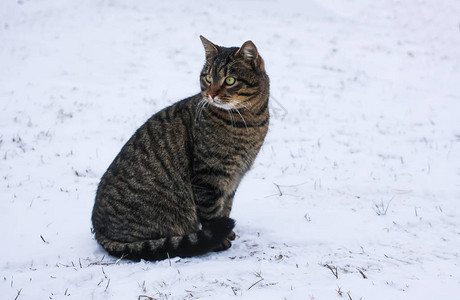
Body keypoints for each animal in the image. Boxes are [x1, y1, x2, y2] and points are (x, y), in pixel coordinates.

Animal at [90, 34, 270, 260]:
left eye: (230, 80)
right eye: (208, 78)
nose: (211, 94)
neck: (250, 122)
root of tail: (99, 233)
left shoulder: (233, 179)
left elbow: (225, 207)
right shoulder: (208, 176)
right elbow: (212, 214)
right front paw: (219, 240)